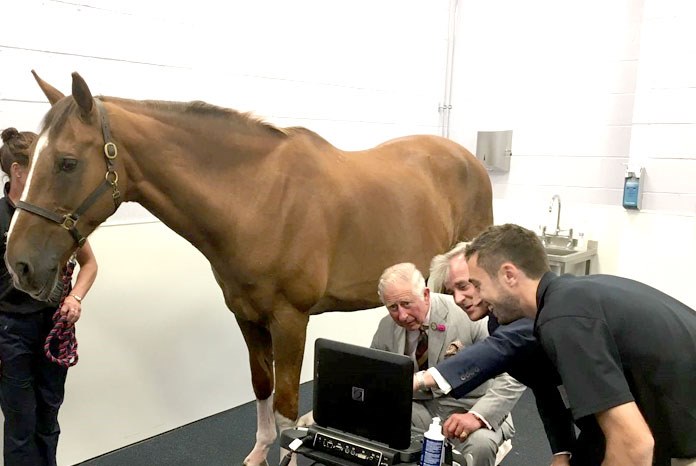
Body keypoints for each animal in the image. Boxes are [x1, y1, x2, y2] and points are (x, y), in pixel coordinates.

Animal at [6, 71, 494, 464]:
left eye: (67, 162)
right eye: (28, 160)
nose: (19, 264)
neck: (258, 198)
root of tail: (468, 159)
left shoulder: (290, 320)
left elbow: (287, 410)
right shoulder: (246, 316)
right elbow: (261, 386)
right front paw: (259, 453)